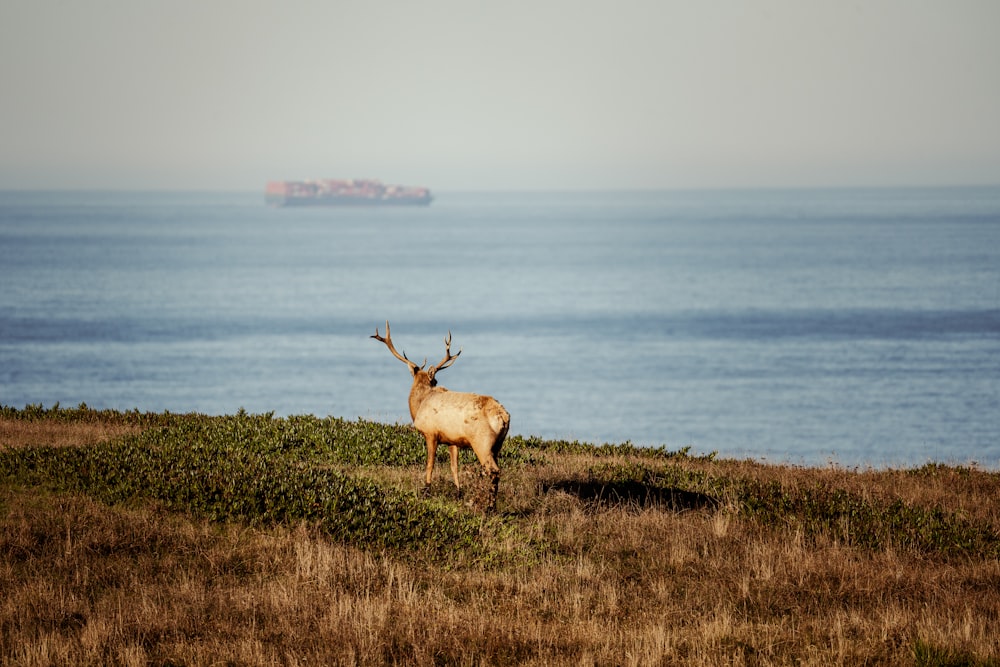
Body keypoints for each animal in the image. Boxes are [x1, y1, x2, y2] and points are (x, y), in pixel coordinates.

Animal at [372, 320, 508, 504]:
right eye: (435, 380)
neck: (419, 406)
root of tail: (503, 417)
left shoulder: (431, 433)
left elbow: (430, 464)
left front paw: (426, 490)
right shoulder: (452, 440)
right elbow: (454, 467)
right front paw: (458, 492)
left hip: (482, 442)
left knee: (493, 471)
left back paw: (489, 505)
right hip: (498, 445)